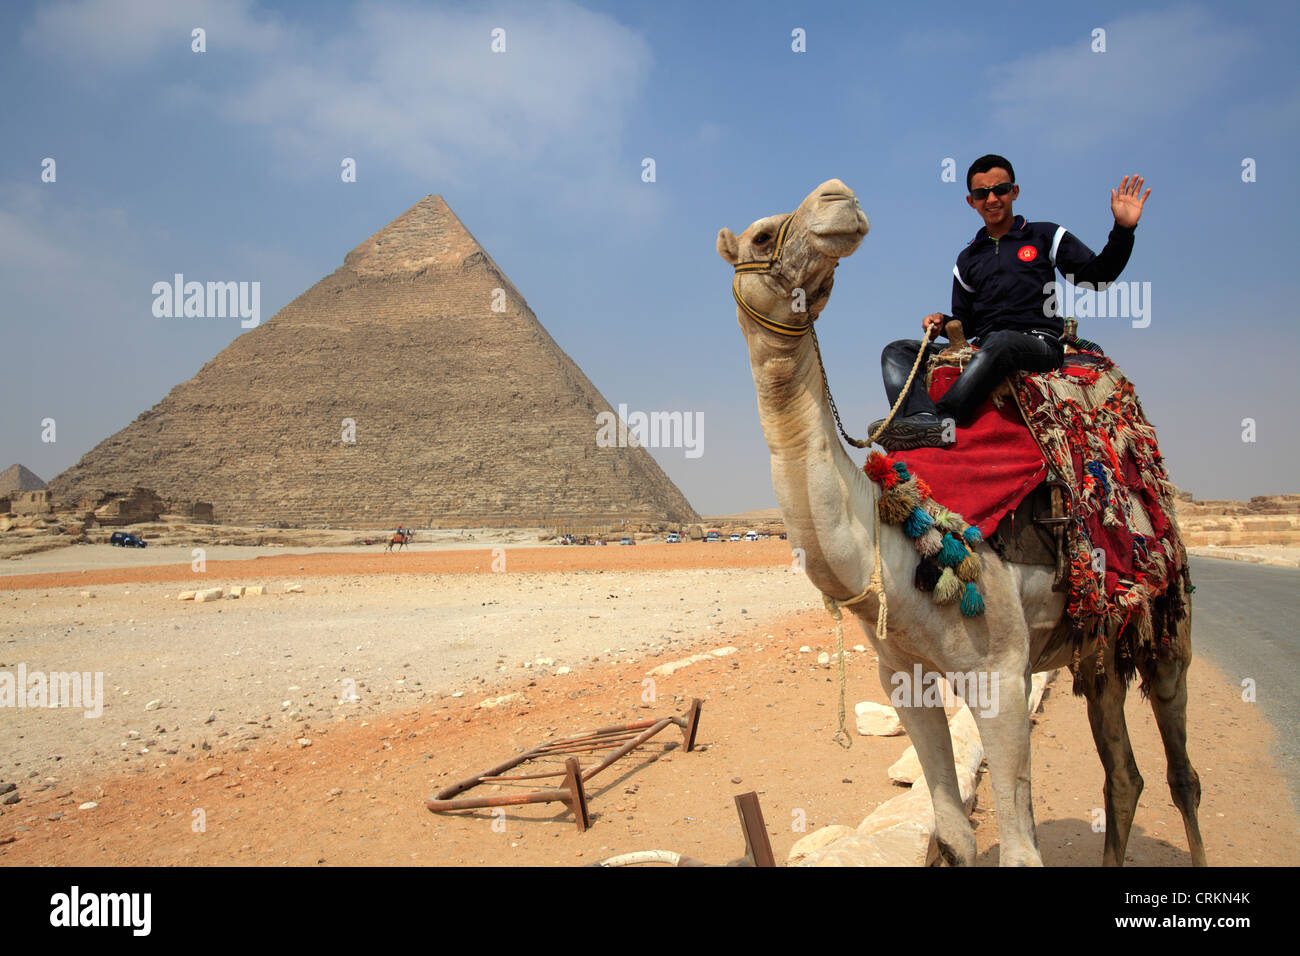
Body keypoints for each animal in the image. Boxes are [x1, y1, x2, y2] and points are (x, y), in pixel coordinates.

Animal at [717, 179, 1201, 868]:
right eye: (761, 237)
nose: (838, 196)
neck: (893, 541)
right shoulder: (903, 681)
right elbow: (953, 832)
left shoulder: (999, 671)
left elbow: (1021, 849)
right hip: (1096, 639)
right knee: (1122, 773)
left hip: (1167, 616)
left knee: (1180, 771)